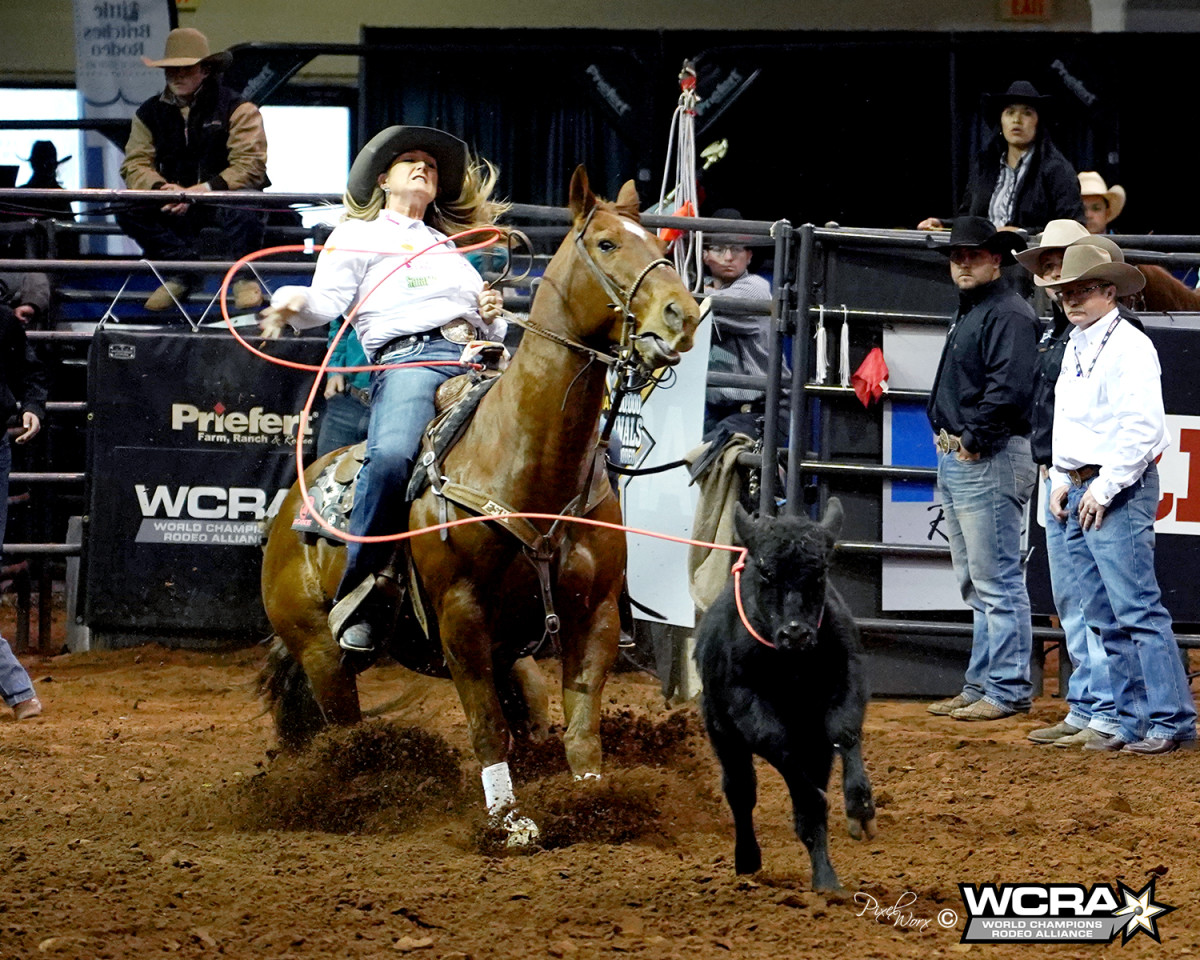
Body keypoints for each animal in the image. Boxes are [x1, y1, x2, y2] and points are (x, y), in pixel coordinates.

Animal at [258, 169, 700, 844]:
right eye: (605, 243)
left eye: (655, 240)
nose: (684, 315)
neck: (527, 464)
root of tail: (287, 517)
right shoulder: (461, 619)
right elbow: (486, 729)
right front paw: (510, 823)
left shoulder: (593, 615)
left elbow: (581, 724)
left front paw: (596, 803)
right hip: (321, 652)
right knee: (346, 733)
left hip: (508, 660)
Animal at [691, 501, 878, 892]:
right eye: (765, 572)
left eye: (820, 572)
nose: (796, 633)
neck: (791, 663)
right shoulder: (744, 703)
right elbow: (779, 749)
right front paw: (815, 801)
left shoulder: (848, 678)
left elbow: (844, 731)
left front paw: (860, 806)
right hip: (722, 733)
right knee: (741, 791)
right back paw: (748, 858)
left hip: (815, 746)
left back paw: (824, 877)